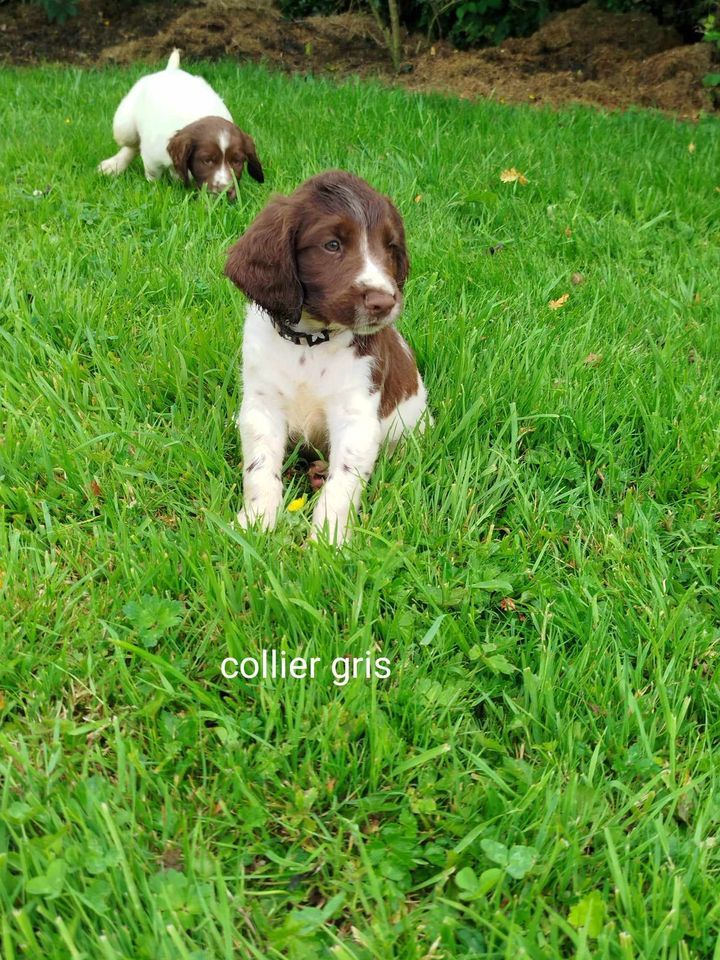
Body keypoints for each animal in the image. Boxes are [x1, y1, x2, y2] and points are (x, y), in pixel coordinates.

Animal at [97, 50, 262, 199]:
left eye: (237, 161)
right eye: (207, 161)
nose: (225, 193)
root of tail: (171, 70)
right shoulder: (152, 157)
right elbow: (153, 176)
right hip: (124, 126)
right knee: (131, 145)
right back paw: (113, 165)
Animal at [225, 170, 428, 544]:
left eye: (390, 248)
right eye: (332, 245)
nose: (383, 302)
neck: (310, 343)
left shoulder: (356, 415)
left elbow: (342, 484)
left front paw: (328, 541)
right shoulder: (262, 407)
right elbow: (259, 469)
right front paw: (255, 524)